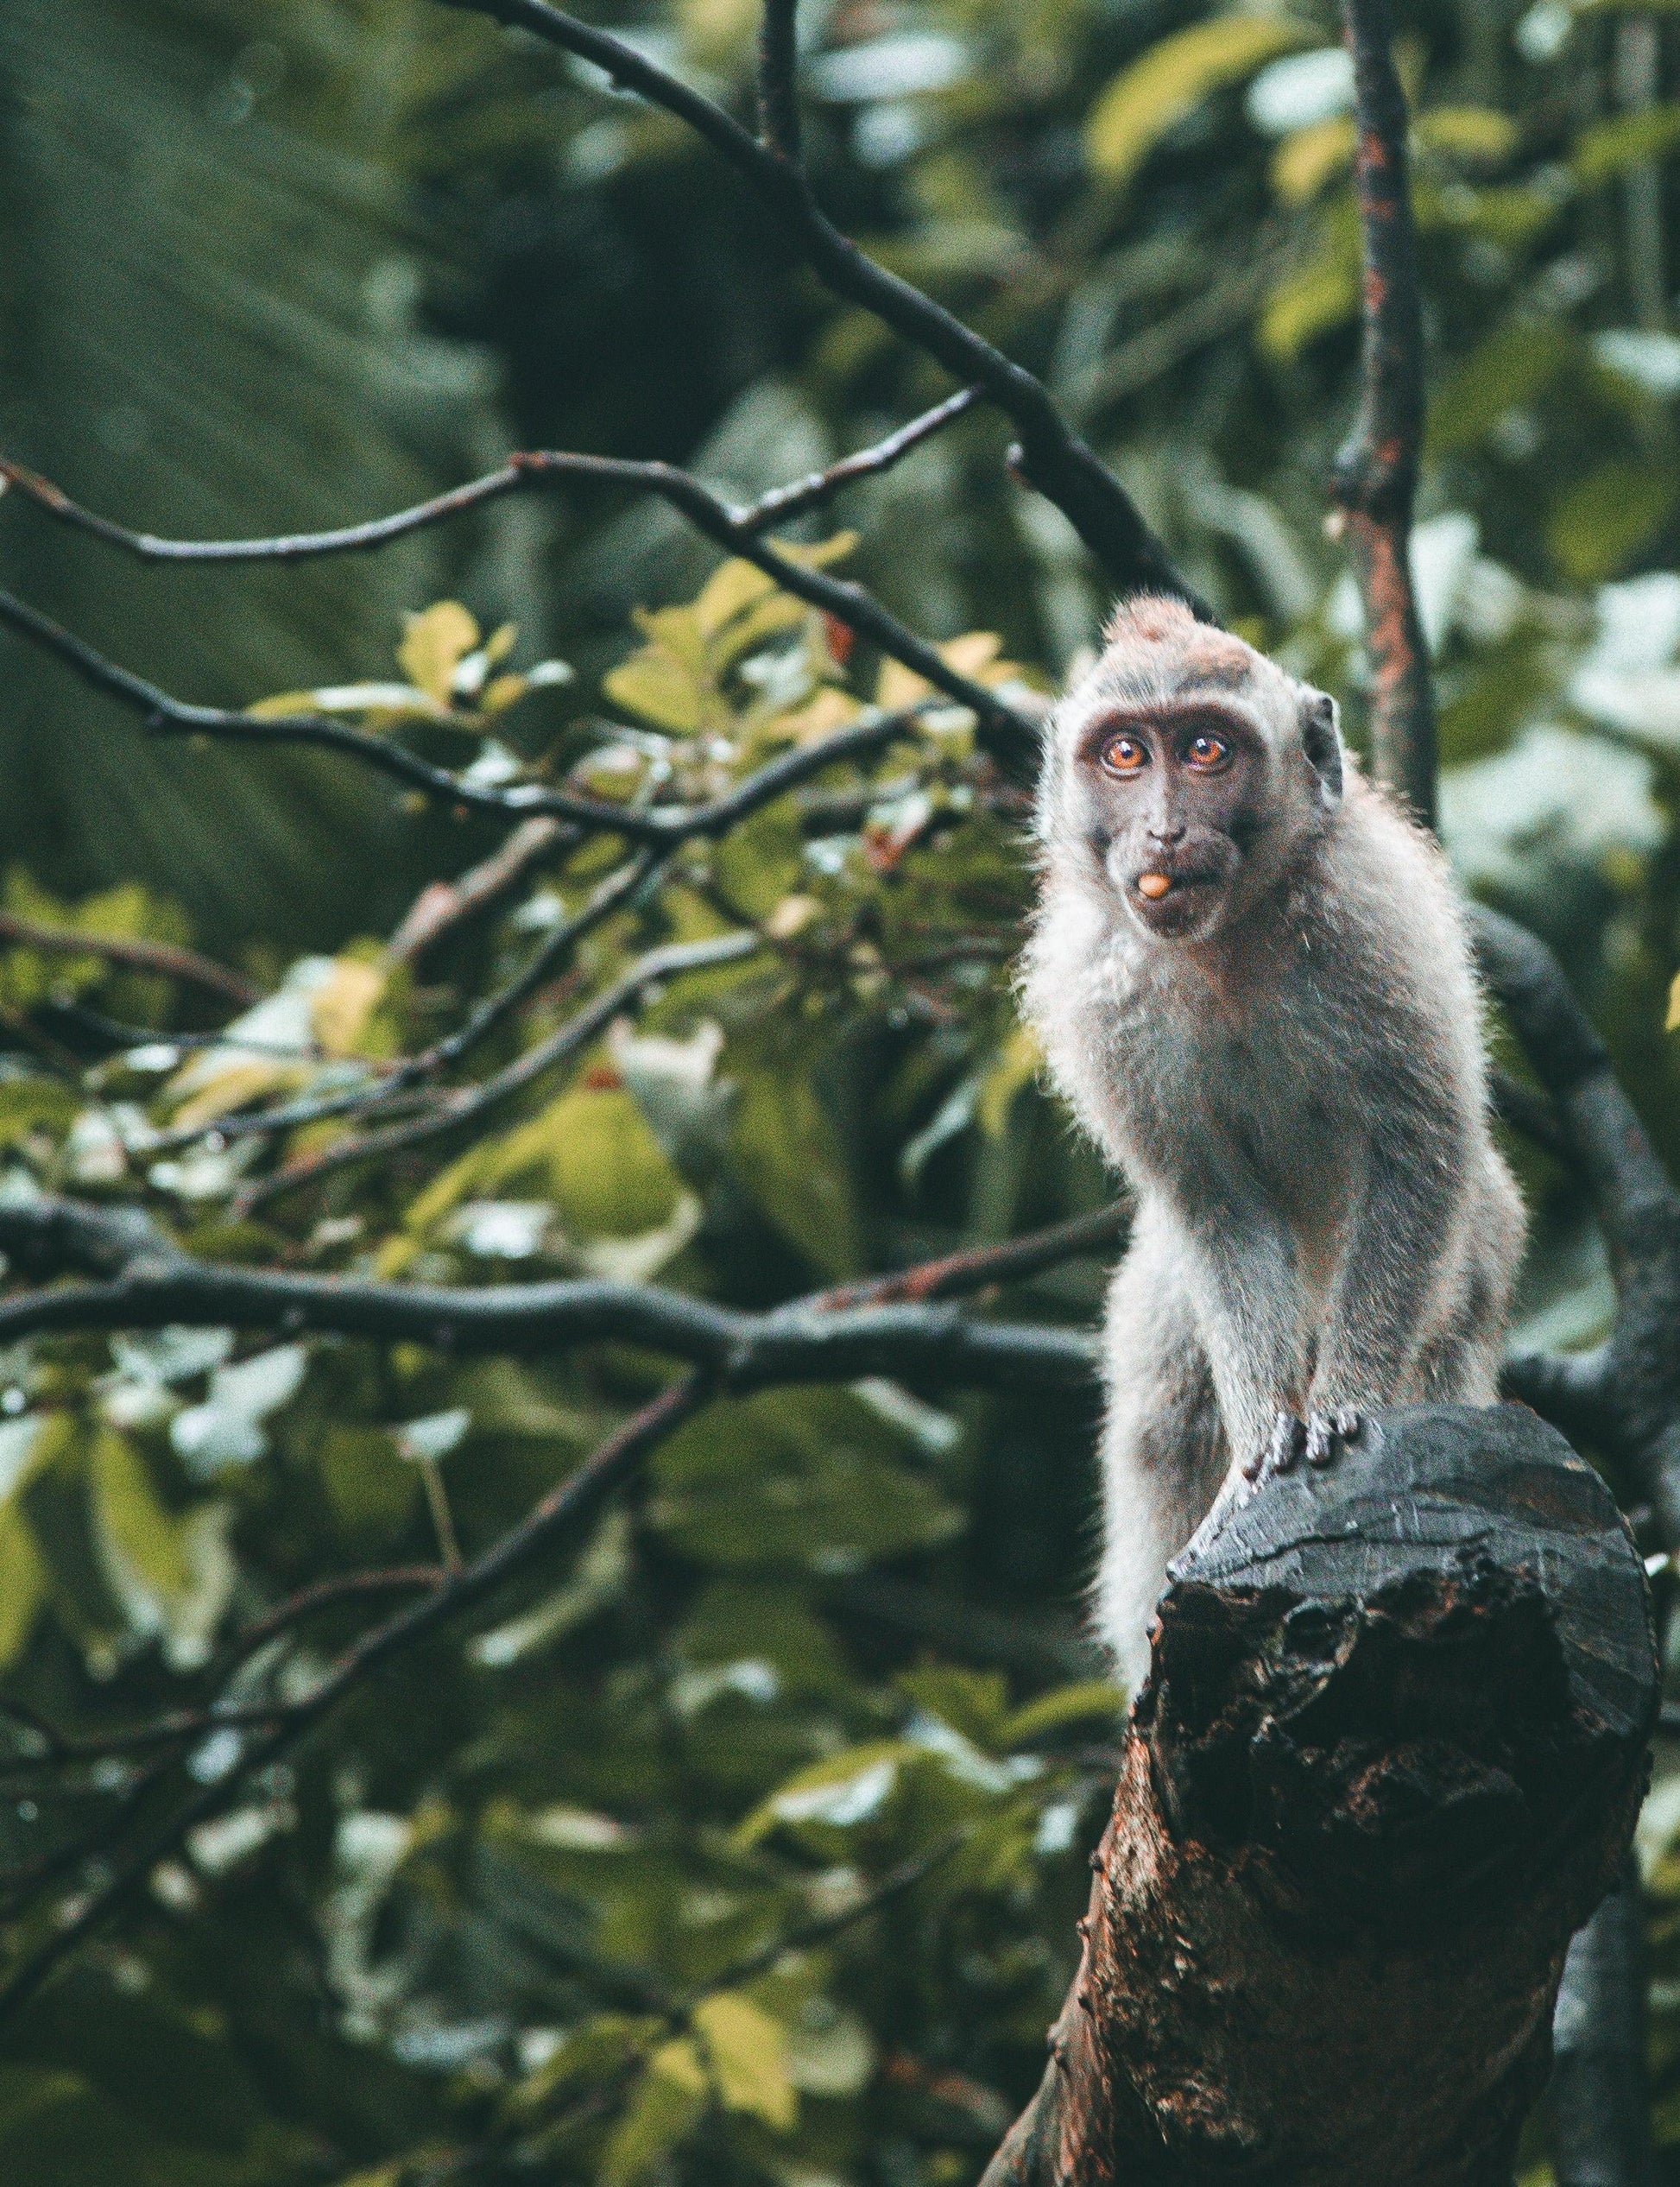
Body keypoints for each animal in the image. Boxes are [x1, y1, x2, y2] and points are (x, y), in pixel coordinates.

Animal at [1014, 599, 1531, 1688]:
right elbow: (1212, 1205)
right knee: (1167, 1398)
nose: (1162, 830)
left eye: (1205, 750)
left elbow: (1416, 1149)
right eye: (1125, 754)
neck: (1225, 942)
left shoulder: (1372, 921)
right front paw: (1262, 1438)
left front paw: (1342, 1404)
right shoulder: (1096, 989)